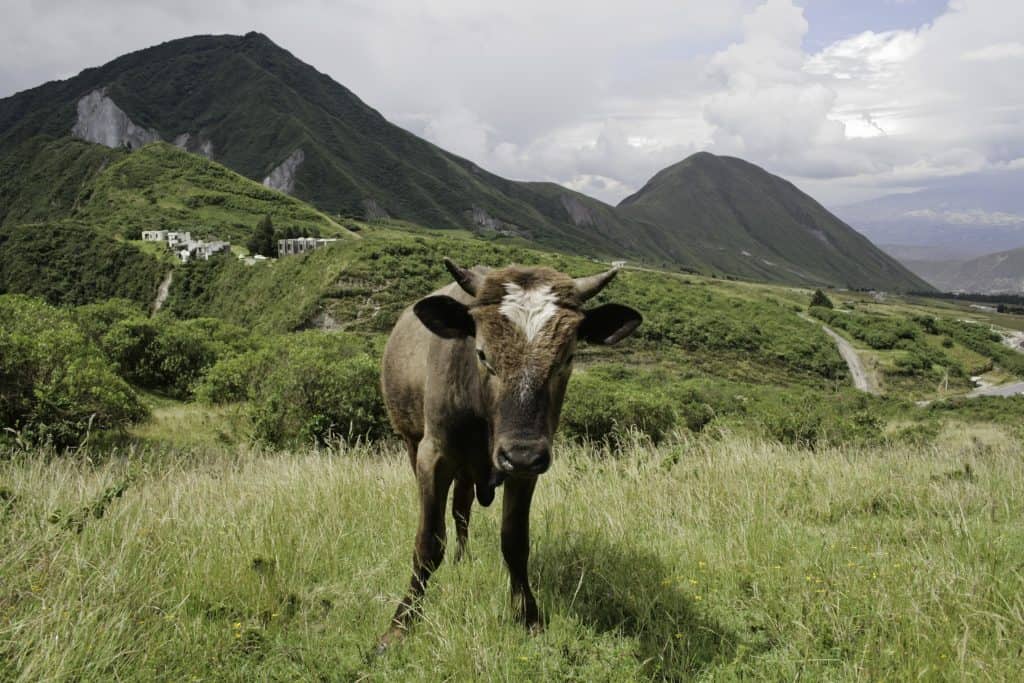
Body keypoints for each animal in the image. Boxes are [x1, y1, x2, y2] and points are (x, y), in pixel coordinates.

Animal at [377, 257, 642, 648]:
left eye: (568, 357)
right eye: (482, 353)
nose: (521, 454)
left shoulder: (526, 468)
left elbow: (515, 542)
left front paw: (528, 616)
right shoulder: (434, 455)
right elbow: (428, 542)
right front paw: (402, 621)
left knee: (462, 511)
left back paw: (463, 558)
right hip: (413, 443)